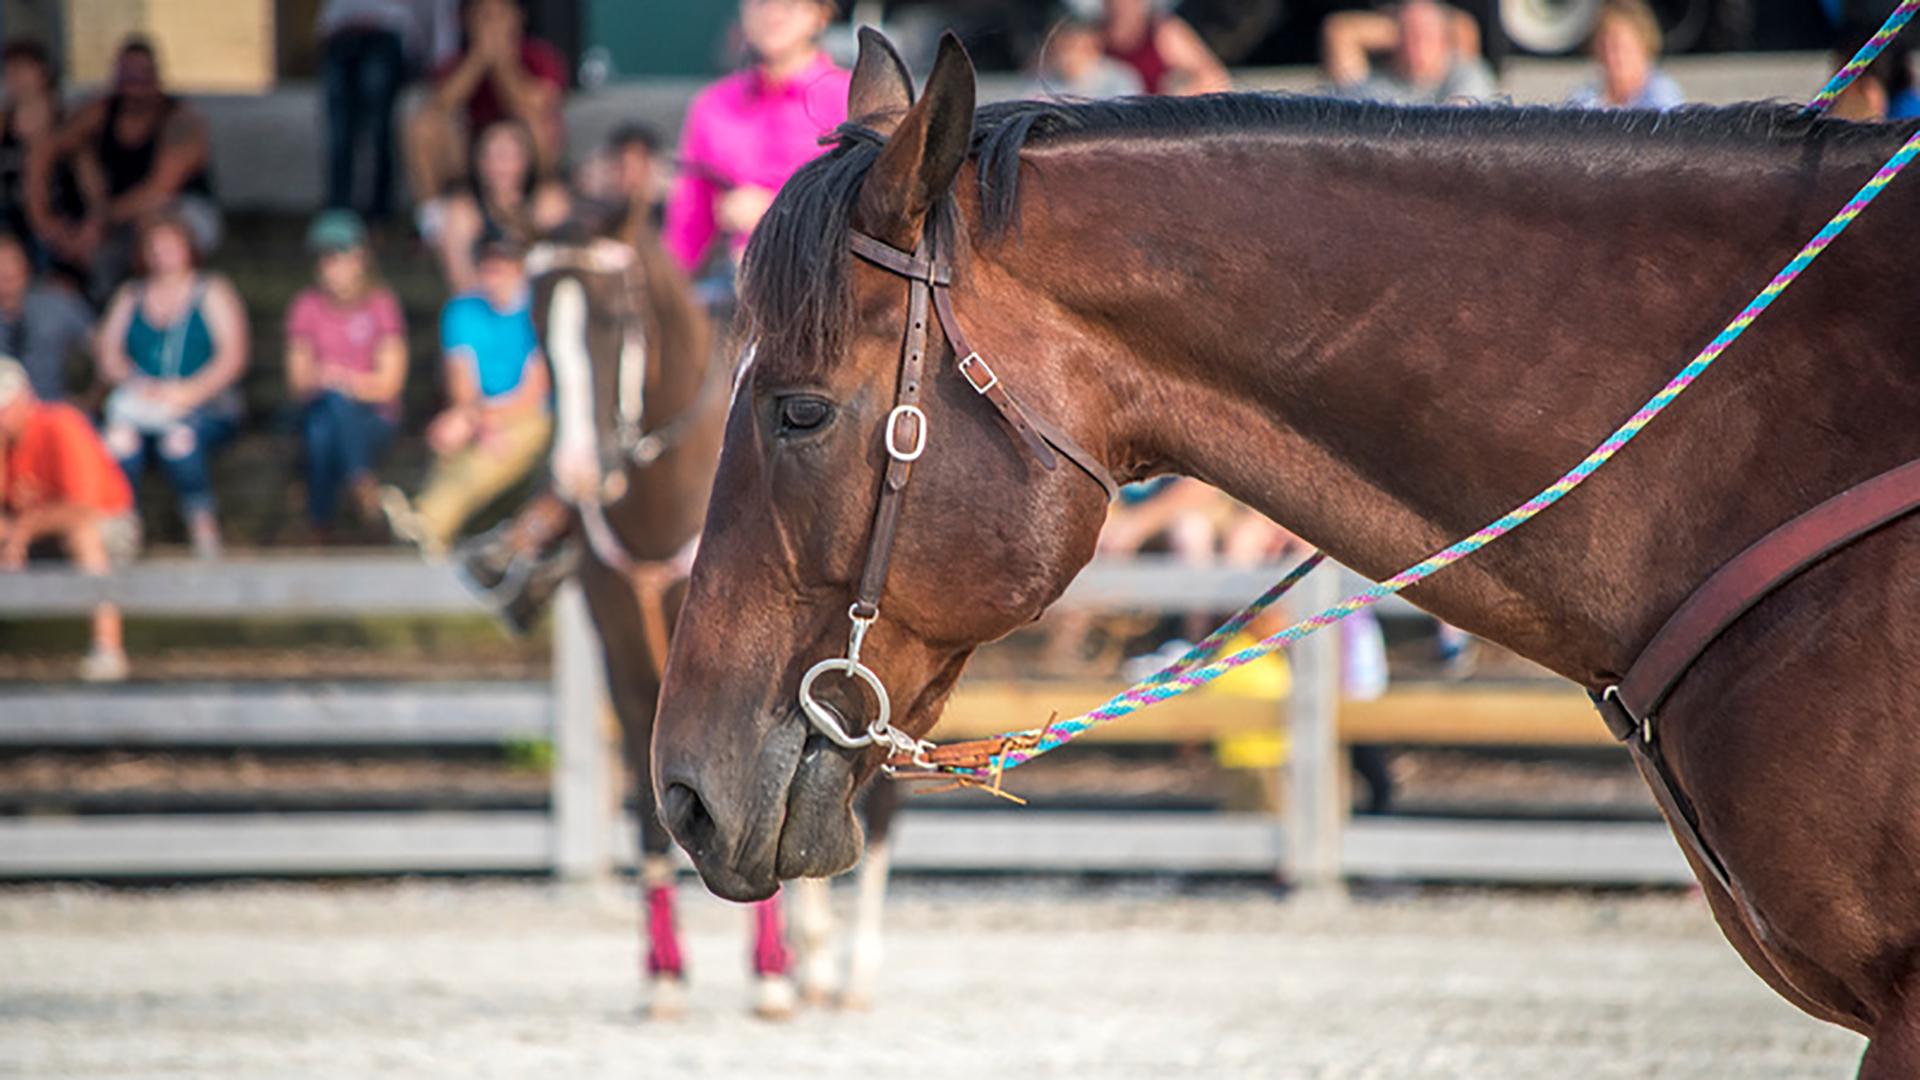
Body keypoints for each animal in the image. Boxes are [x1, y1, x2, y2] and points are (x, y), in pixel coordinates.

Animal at [524, 199, 903, 1016]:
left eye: (613, 318)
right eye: (535, 322)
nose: (577, 472)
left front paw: (769, 973)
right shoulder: (628, 658)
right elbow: (653, 802)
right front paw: (664, 972)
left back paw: (851, 969)